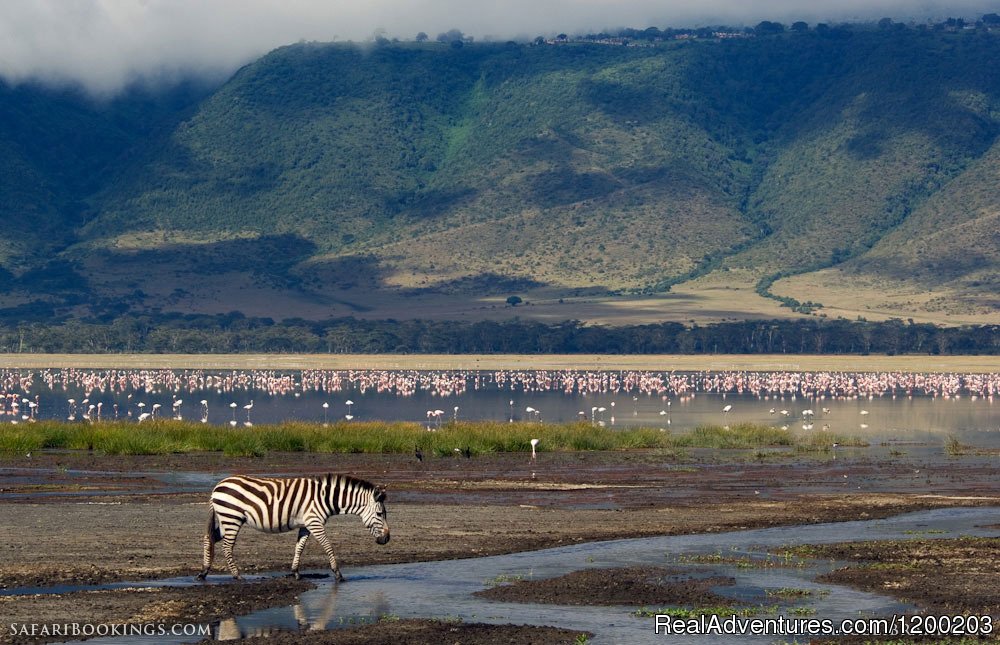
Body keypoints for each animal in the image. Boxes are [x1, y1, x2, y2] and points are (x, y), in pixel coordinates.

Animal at [198, 470, 390, 580]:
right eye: (380, 514)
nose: (387, 539)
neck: (325, 498)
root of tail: (217, 486)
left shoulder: (306, 524)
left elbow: (300, 547)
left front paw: (295, 572)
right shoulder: (315, 522)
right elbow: (328, 546)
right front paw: (338, 573)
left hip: (225, 519)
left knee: (208, 539)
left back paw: (204, 572)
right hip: (232, 517)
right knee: (227, 547)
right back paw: (237, 575)